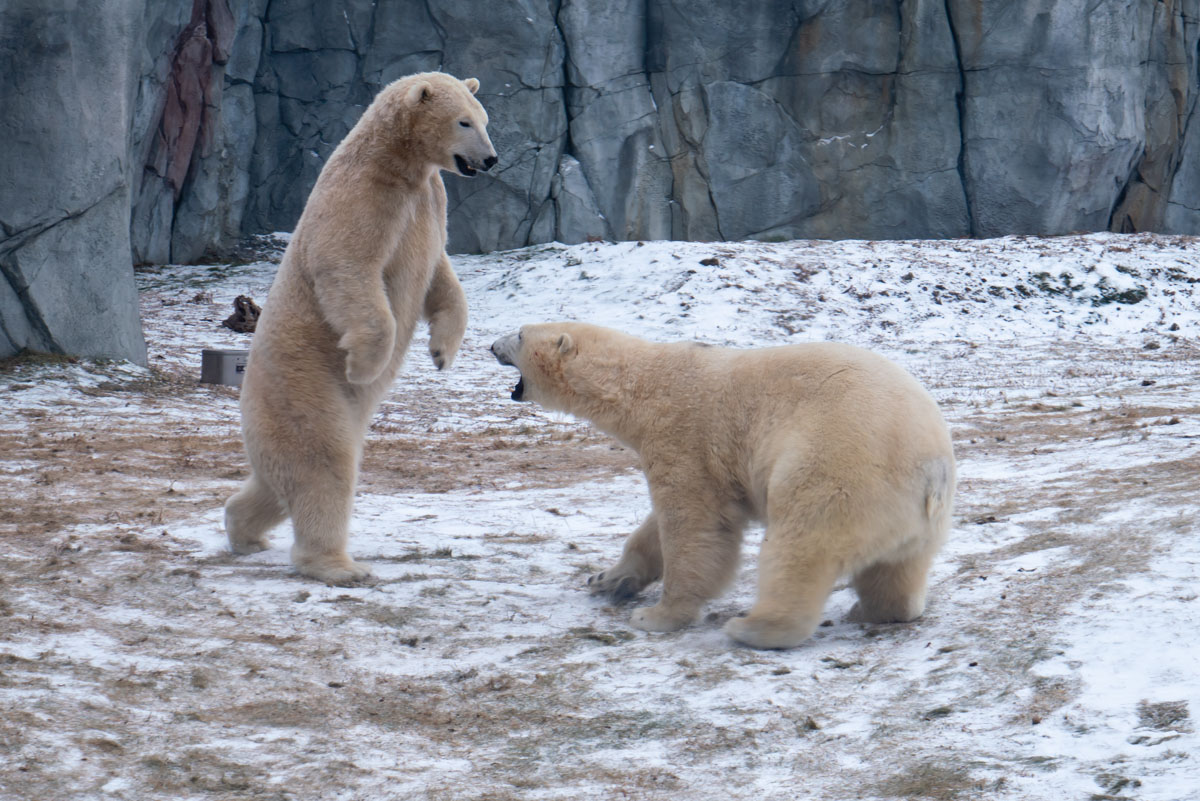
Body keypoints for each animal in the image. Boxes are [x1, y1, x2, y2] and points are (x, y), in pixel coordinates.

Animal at [225, 71, 496, 582]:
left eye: (484, 119)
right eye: (464, 121)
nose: (490, 159)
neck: (397, 161)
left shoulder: (428, 201)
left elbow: (442, 277)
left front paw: (442, 352)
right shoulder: (364, 196)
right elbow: (346, 265)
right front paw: (365, 365)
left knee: (276, 482)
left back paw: (244, 531)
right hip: (302, 385)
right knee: (321, 459)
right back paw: (338, 565)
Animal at [489, 321, 955, 647]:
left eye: (520, 333)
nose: (491, 345)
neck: (641, 385)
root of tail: (931, 467)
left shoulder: (684, 438)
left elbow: (694, 525)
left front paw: (657, 616)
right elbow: (654, 530)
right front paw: (607, 579)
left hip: (837, 467)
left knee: (801, 547)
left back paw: (754, 627)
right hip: (912, 519)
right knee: (898, 569)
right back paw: (875, 610)